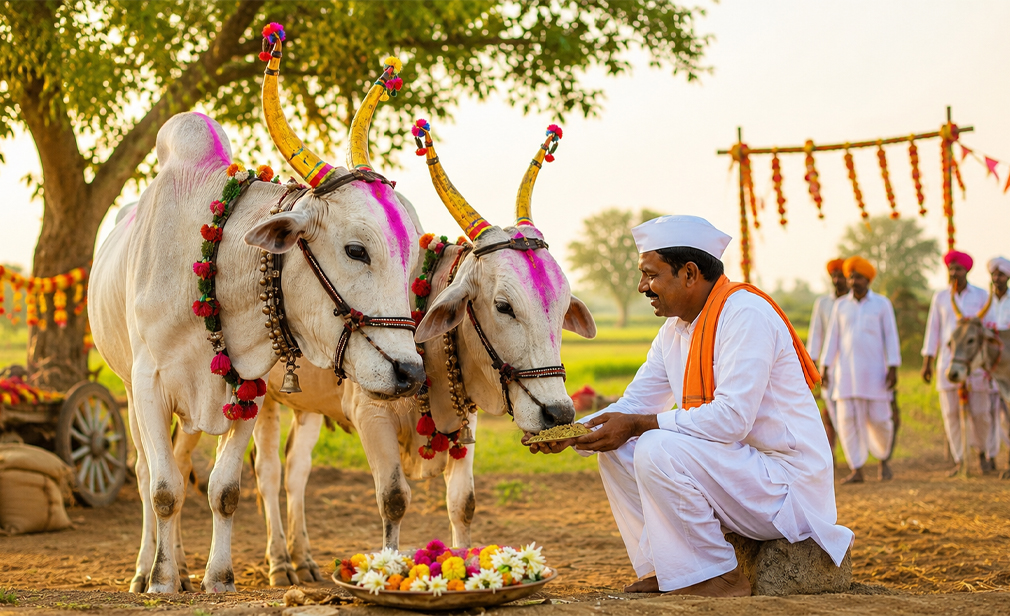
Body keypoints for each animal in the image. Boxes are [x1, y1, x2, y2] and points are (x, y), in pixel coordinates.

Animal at [89, 40, 424, 593]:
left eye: (411, 256)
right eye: (356, 250)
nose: (410, 371)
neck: (213, 262)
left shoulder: (248, 386)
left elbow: (224, 490)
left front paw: (218, 577)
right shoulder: (148, 384)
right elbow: (162, 490)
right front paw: (161, 581)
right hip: (129, 392)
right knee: (144, 476)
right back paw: (146, 568)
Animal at [174, 122, 597, 586]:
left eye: (561, 308)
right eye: (504, 306)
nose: (558, 414)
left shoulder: (465, 421)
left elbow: (463, 503)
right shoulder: (371, 414)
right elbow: (393, 499)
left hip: (305, 406)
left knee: (295, 473)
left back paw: (302, 560)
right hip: (248, 397)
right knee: (240, 469)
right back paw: (246, 565)